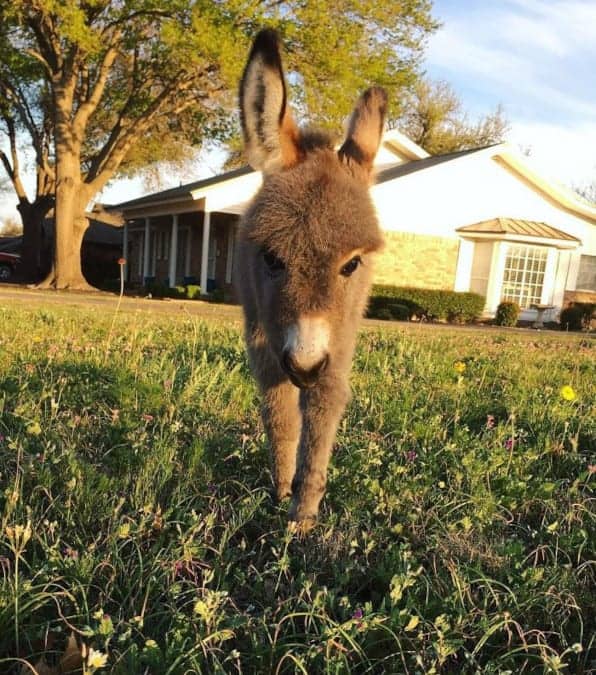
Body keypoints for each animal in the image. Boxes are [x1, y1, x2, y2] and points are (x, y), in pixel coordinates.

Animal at [235, 30, 388, 532]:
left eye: (352, 265)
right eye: (271, 257)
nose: (303, 365)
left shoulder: (338, 339)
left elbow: (323, 407)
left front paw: (303, 519)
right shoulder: (262, 332)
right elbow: (278, 412)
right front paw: (282, 490)